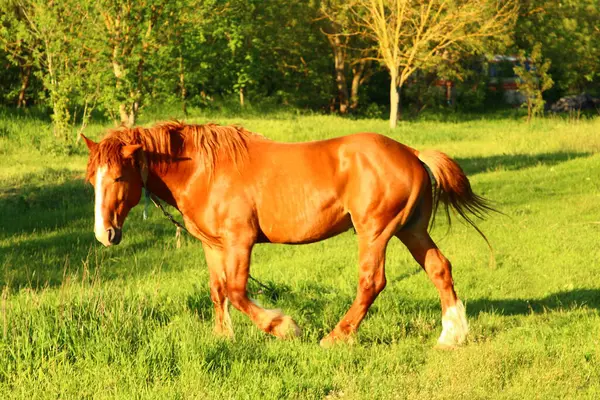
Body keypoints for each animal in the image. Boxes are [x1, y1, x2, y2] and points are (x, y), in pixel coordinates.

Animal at [82, 121, 494, 346]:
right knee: (440, 268)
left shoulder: (240, 241)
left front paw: (284, 327)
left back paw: (336, 337)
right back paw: (451, 336)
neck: (205, 169)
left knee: (371, 282)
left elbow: (237, 291)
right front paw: (224, 337)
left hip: (375, 232)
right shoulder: (213, 245)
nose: (105, 234)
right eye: (91, 180)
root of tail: (412, 153)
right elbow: (218, 291)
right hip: (411, 230)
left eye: (117, 177)